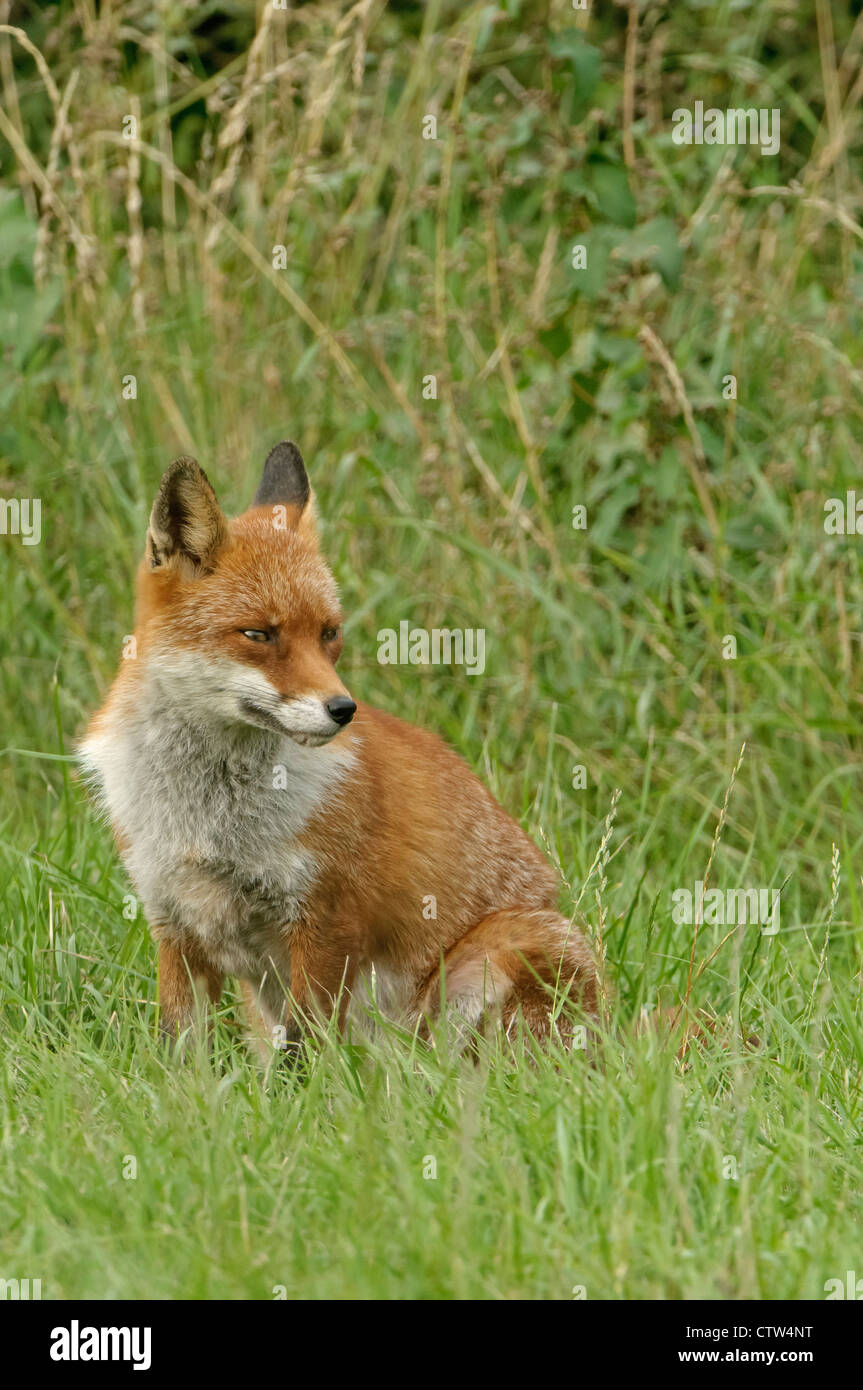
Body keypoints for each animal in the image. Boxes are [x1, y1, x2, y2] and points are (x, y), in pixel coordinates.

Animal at [84, 442, 600, 1050]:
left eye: (329, 632)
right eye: (258, 635)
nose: (342, 710)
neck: (211, 821)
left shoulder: (326, 922)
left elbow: (302, 1051)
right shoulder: (175, 924)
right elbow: (182, 1051)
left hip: (506, 948)